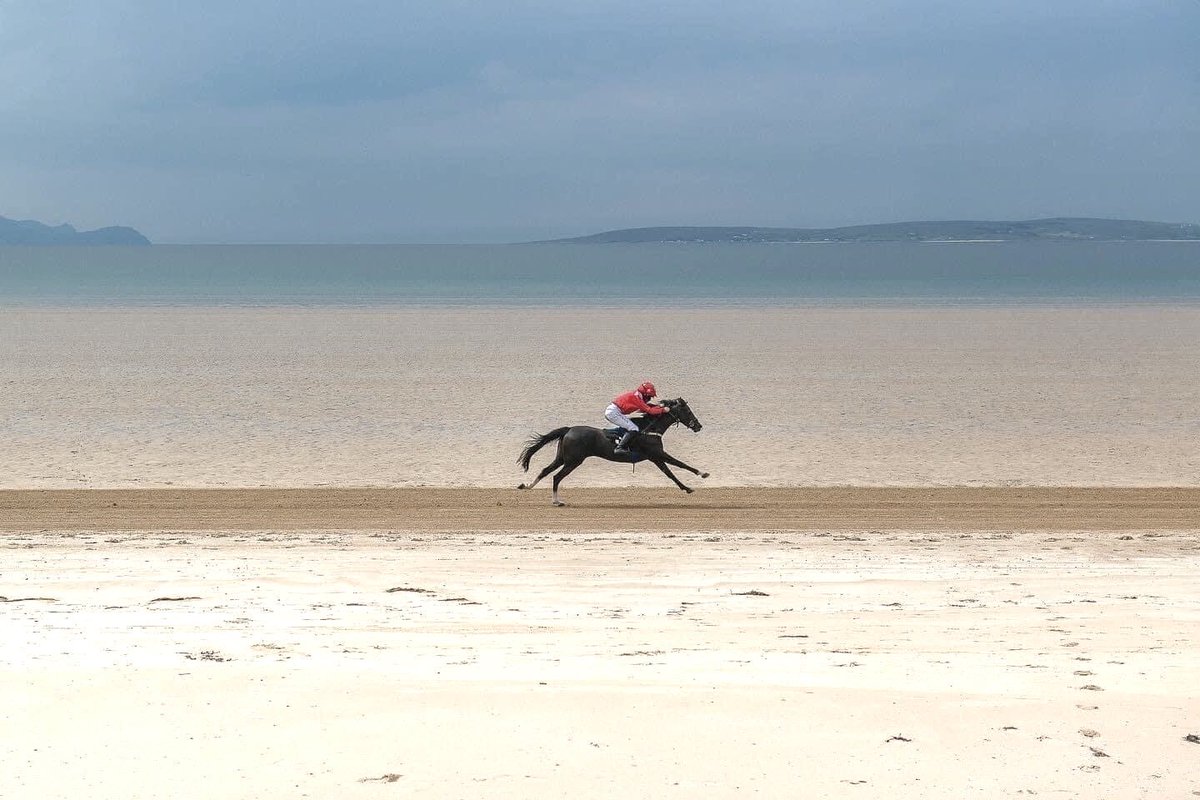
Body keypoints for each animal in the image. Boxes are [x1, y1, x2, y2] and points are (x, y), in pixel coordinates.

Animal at [517, 397, 709, 506]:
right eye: (687, 411)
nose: (698, 426)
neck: (649, 429)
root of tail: (569, 429)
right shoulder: (657, 454)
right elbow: (680, 465)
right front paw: (701, 474)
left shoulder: (655, 458)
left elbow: (670, 473)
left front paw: (687, 487)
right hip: (573, 460)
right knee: (556, 477)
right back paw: (556, 501)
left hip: (563, 457)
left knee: (545, 471)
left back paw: (527, 486)